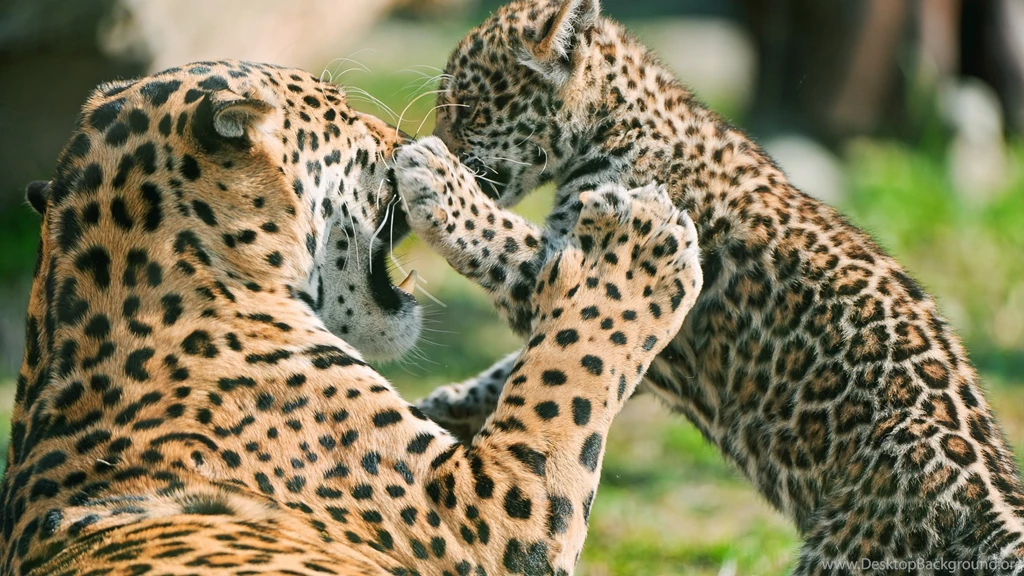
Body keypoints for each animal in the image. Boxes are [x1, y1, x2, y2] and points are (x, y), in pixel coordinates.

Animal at [392, 0, 1024, 571]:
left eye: (466, 108)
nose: (430, 140)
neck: (621, 119)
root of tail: (996, 520)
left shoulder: (581, 265)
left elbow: (506, 245)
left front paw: (437, 180)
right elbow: (544, 362)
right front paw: (450, 404)